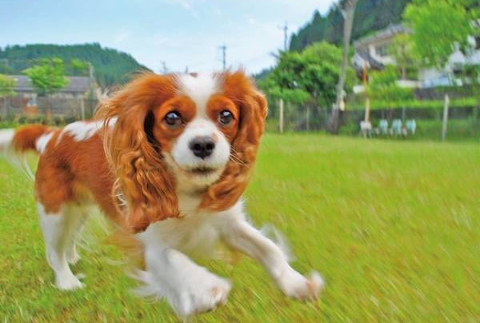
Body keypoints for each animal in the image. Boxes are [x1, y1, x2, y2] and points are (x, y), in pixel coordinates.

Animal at [0, 71, 322, 318]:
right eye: (172, 118)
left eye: (226, 116)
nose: (203, 144)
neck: (187, 189)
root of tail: (52, 135)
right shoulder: (149, 242)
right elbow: (174, 258)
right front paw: (207, 288)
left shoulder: (227, 223)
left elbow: (269, 248)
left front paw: (297, 283)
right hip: (54, 211)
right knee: (53, 250)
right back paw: (67, 280)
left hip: (80, 209)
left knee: (70, 238)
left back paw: (73, 257)